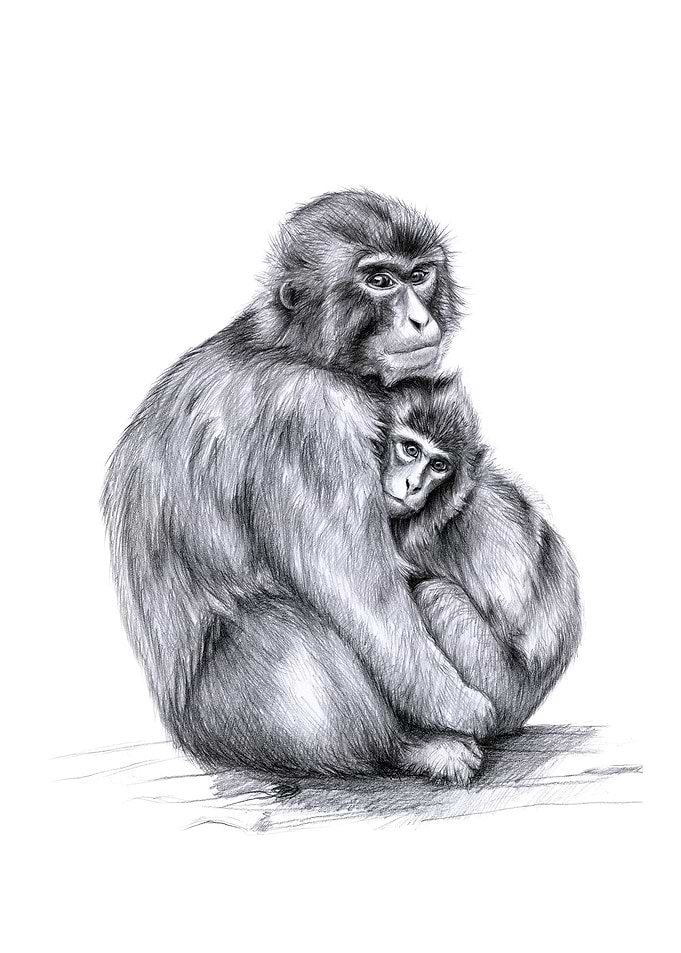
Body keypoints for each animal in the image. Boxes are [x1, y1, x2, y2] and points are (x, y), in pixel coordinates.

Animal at [102, 190, 497, 785]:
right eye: (380, 280)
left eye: (420, 275)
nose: (419, 317)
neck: (294, 348)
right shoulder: (310, 419)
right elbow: (361, 594)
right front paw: (460, 707)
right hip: (224, 714)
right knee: (286, 631)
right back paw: (405, 746)